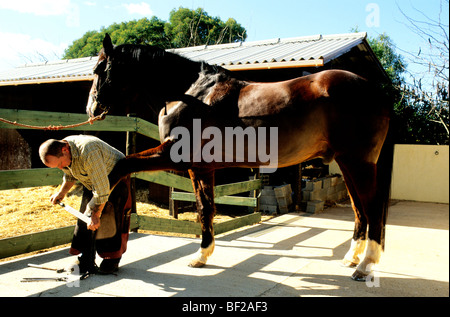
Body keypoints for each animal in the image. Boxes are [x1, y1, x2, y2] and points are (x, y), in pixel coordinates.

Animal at [88, 34, 394, 280]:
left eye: (100, 68)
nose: (91, 109)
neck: (192, 94)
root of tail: (376, 91)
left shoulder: (173, 156)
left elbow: (122, 165)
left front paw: (94, 209)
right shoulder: (201, 168)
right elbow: (205, 209)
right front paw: (201, 256)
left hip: (358, 162)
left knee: (372, 207)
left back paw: (364, 266)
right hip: (346, 162)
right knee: (359, 209)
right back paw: (352, 258)